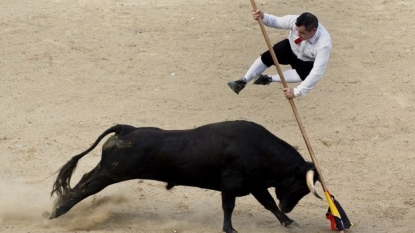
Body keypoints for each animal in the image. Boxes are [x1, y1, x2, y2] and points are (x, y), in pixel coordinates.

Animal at [49, 121, 322, 232]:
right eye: (302, 186)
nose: (289, 206)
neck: (259, 149)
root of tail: (126, 129)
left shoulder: (256, 185)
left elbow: (269, 204)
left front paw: (288, 221)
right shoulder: (231, 184)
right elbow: (229, 207)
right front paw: (229, 229)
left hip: (108, 171)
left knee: (82, 180)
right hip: (111, 172)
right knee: (84, 188)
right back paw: (56, 213)